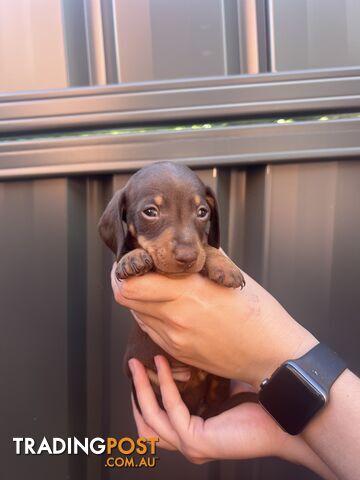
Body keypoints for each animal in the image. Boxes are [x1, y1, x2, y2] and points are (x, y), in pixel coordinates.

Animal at [97, 162, 258, 420]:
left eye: (202, 212)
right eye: (150, 211)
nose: (187, 256)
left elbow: (207, 246)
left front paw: (224, 266)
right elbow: (127, 250)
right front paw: (131, 258)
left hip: (219, 377)